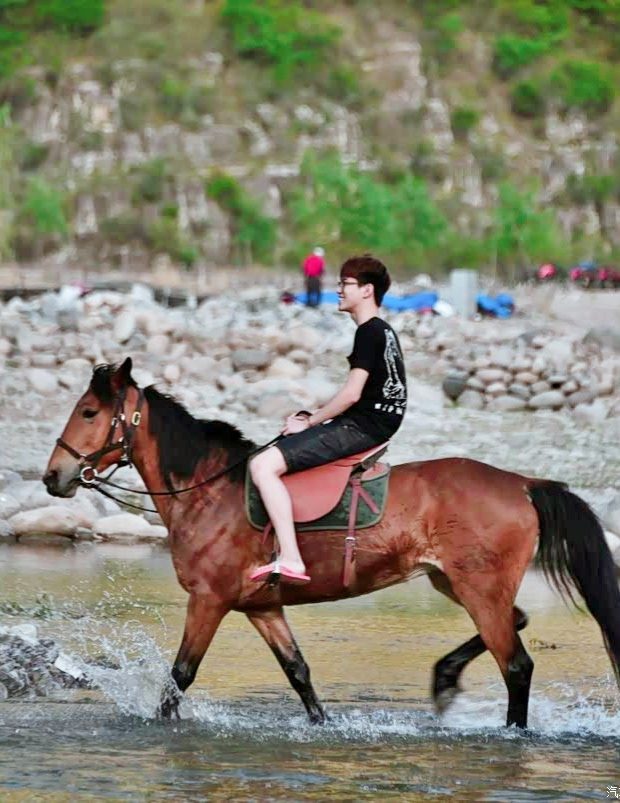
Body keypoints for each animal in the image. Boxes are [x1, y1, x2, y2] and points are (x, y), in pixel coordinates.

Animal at [43, 358, 620, 728]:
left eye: (89, 413)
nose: (53, 476)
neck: (208, 491)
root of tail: (523, 483)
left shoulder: (208, 601)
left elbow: (178, 679)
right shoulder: (262, 607)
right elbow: (299, 675)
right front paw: (322, 726)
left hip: (478, 589)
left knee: (517, 667)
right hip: (457, 584)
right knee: (516, 622)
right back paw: (445, 678)